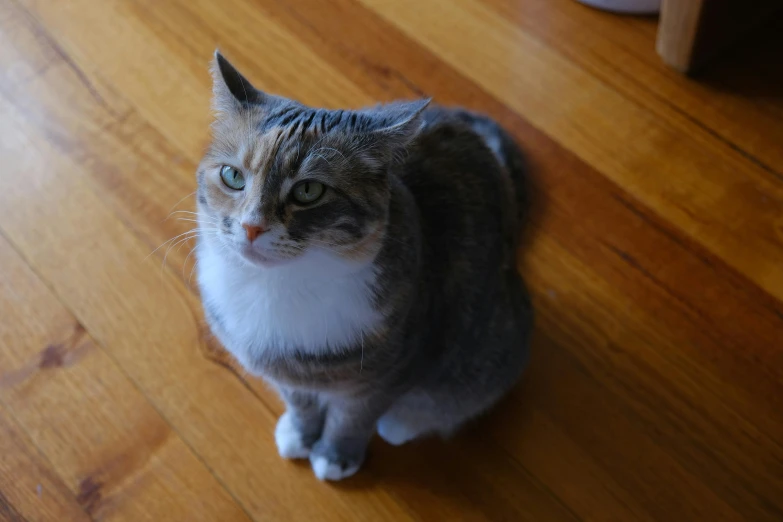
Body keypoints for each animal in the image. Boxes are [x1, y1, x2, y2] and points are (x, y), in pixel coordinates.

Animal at [195, 52, 532, 480]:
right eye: (233, 176)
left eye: (309, 191)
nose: (251, 226)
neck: (279, 284)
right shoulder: (283, 373)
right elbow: (299, 402)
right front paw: (301, 434)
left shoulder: (390, 371)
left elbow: (353, 418)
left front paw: (336, 455)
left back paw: (402, 424)